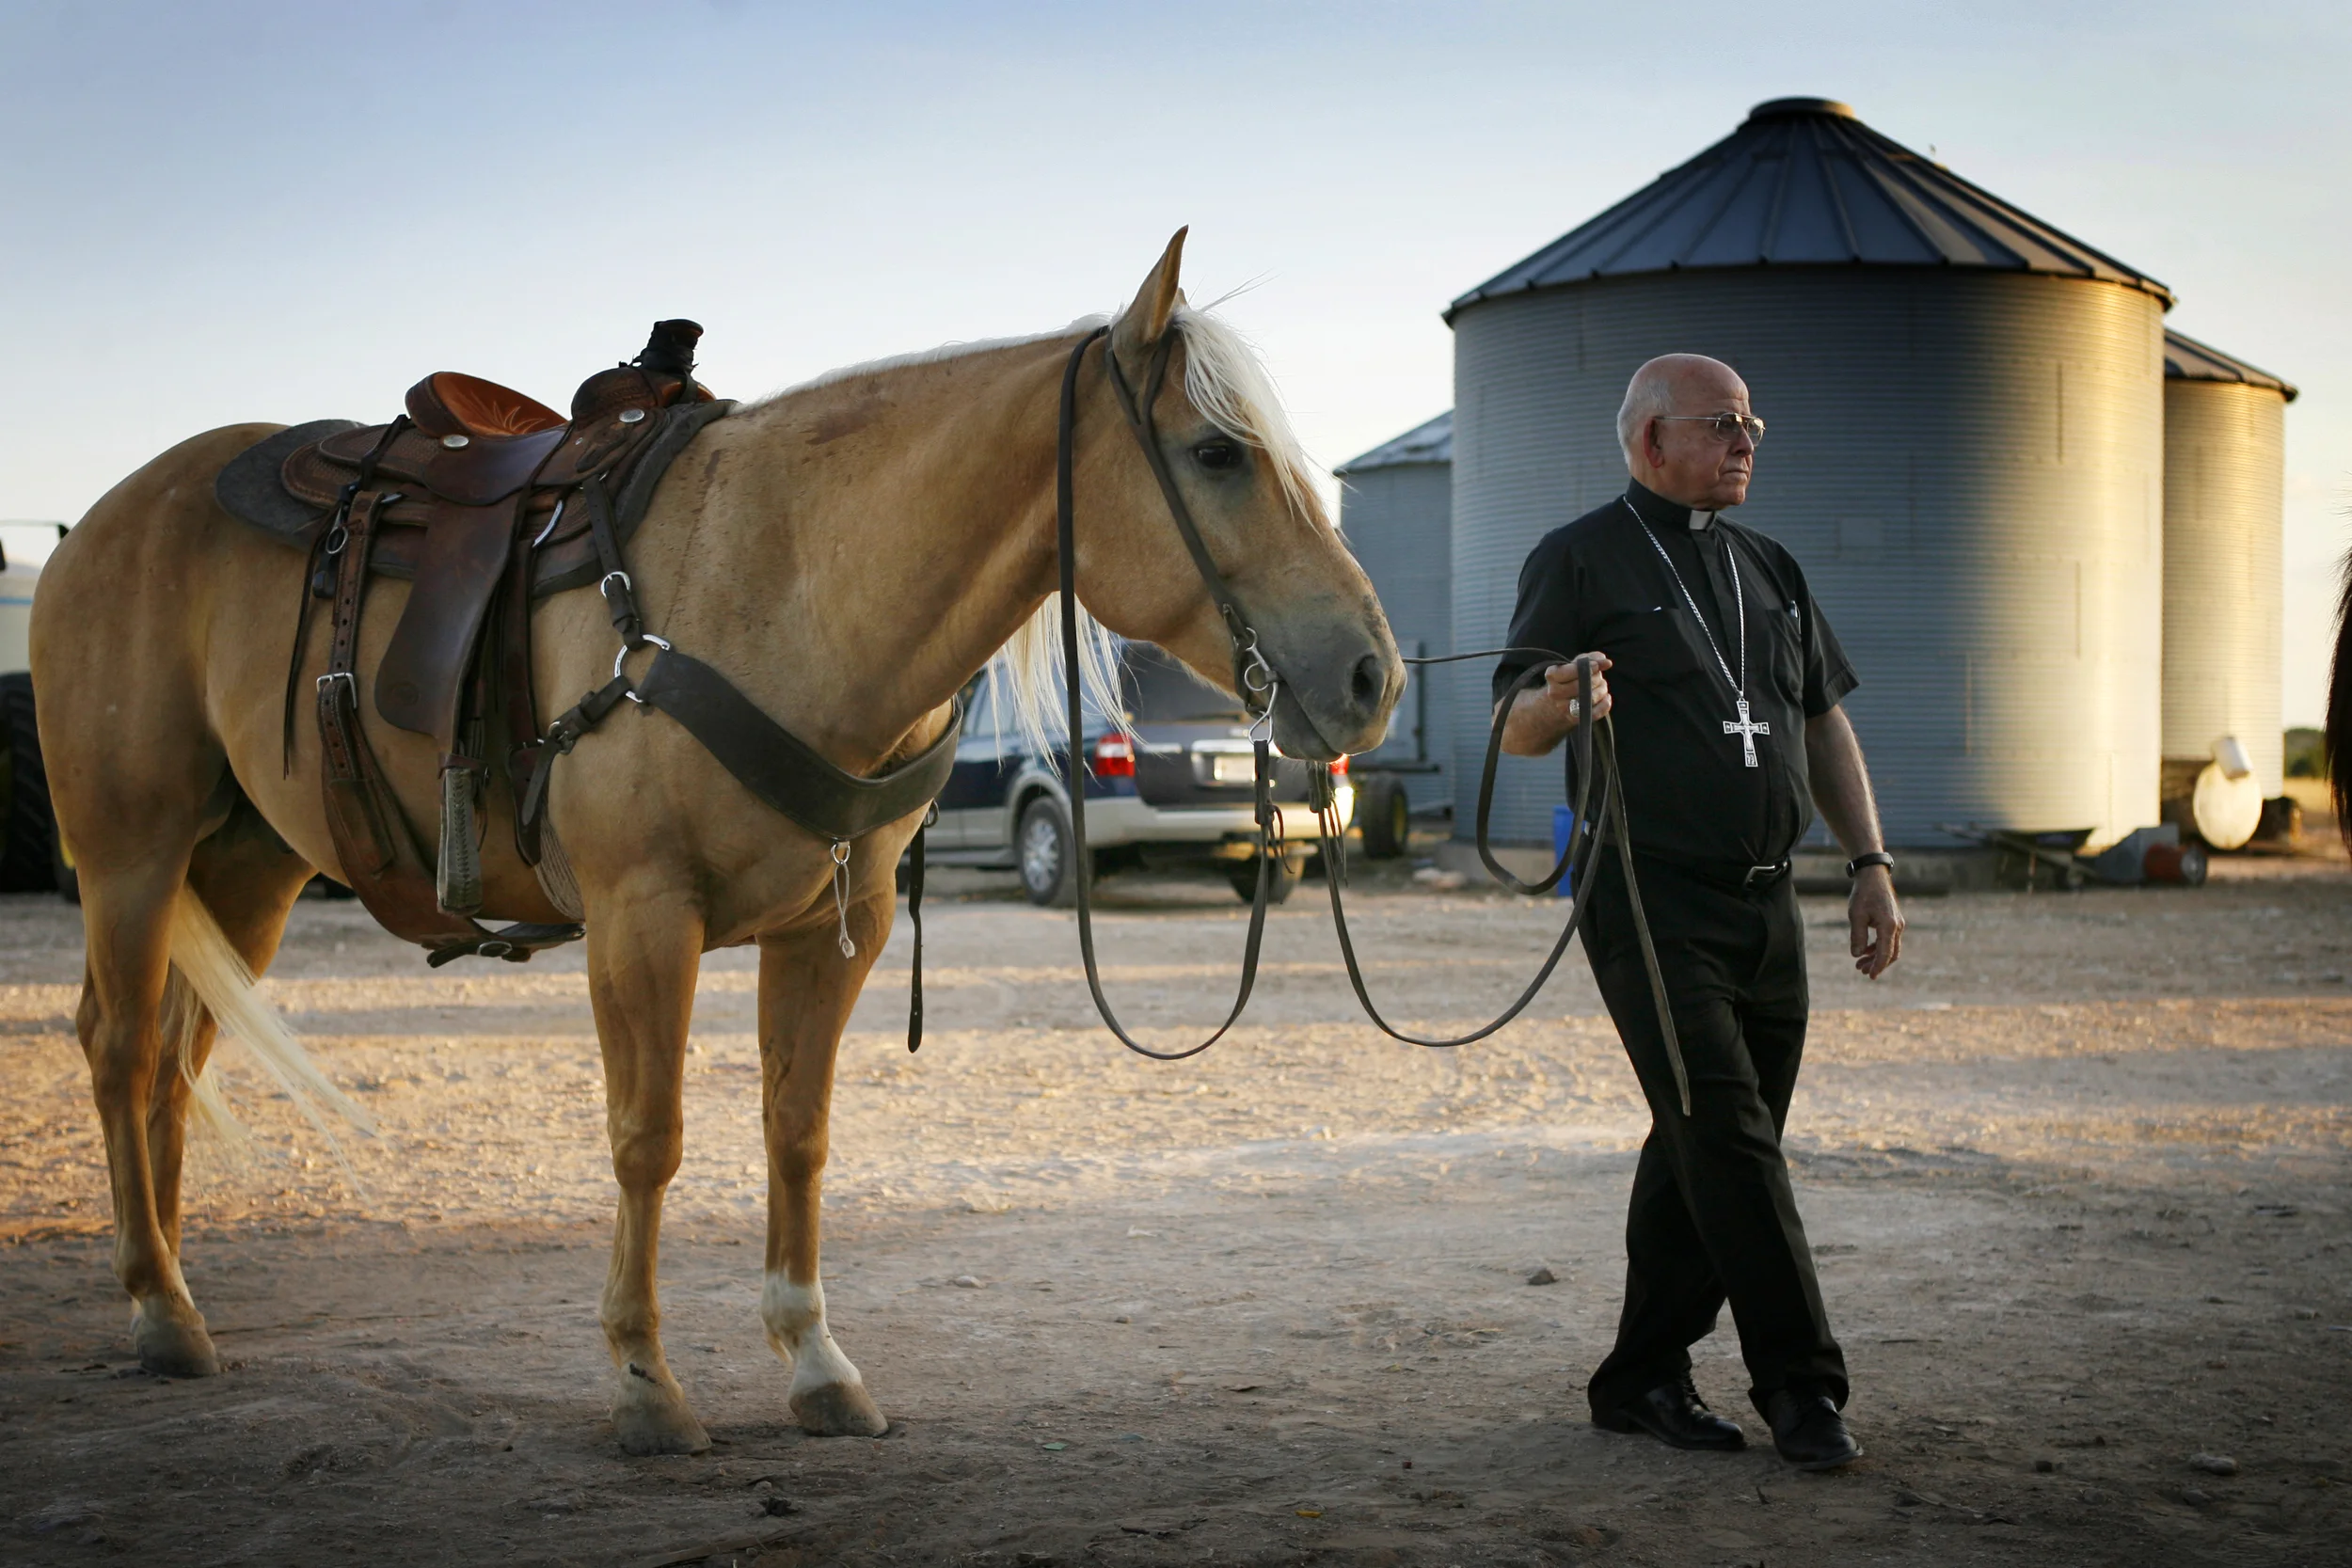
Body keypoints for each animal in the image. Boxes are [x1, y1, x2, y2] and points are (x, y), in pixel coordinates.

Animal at [31, 231, 1402, 1454]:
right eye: (1217, 453)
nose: (1371, 676)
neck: (787, 582)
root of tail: (94, 523)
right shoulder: (643, 917)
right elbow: (650, 1136)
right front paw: (645, 1382)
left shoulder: (833, 928)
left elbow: (797, 1131)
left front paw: (816, 1361)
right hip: (133, 852)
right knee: (116, 1044)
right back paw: (157, 1307)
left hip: (251, 863)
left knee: (175, 1057)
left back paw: (182, 1293)